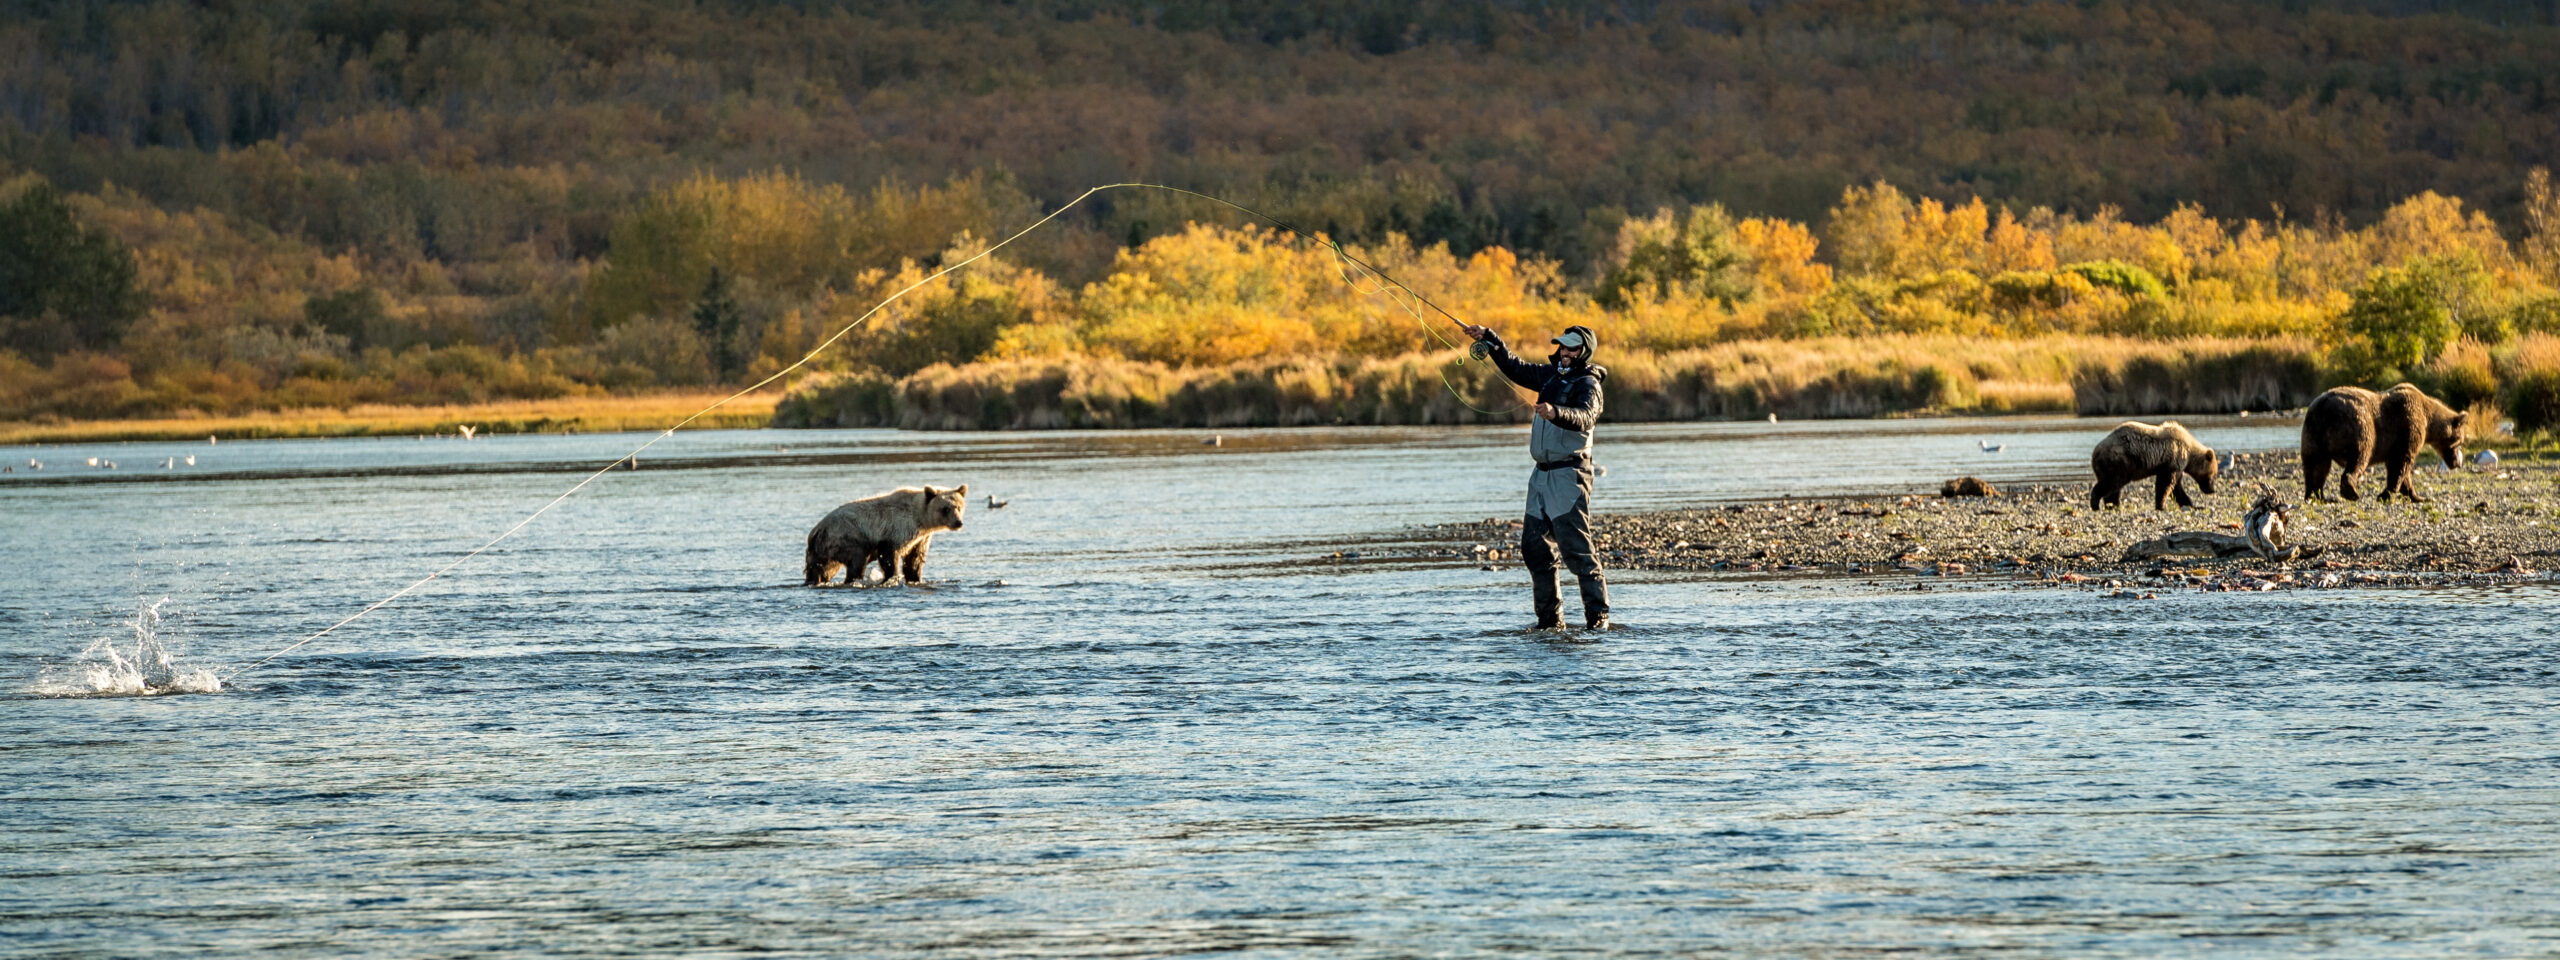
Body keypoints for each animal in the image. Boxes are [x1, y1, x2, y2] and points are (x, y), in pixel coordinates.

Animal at [798, 488, 967, 586]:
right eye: (945, 509)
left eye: (959, 507)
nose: (958, 522)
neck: (921, 520)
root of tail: (816, 532)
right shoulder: (896, 530)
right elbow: (889, 556)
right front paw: (892, 577)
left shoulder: (920, 539)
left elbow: (915, 560)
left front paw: (915, 578)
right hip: (846, 538)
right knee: (857, 562)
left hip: (823, 553)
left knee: (821, 570)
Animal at [2304, 384, 2457, 504]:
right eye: (2458, 441)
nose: (2457, 462)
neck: (2428, 420)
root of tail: (2323, 407)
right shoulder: (2408, 426)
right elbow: (2401, 463)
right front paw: (2385, 495)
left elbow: (2403, 469)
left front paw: (2417, 496)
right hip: (2358, 426)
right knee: (2359, 457)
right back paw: (2351, 492)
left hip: (2313, 434)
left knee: (2316, 466)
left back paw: (2317, 496)